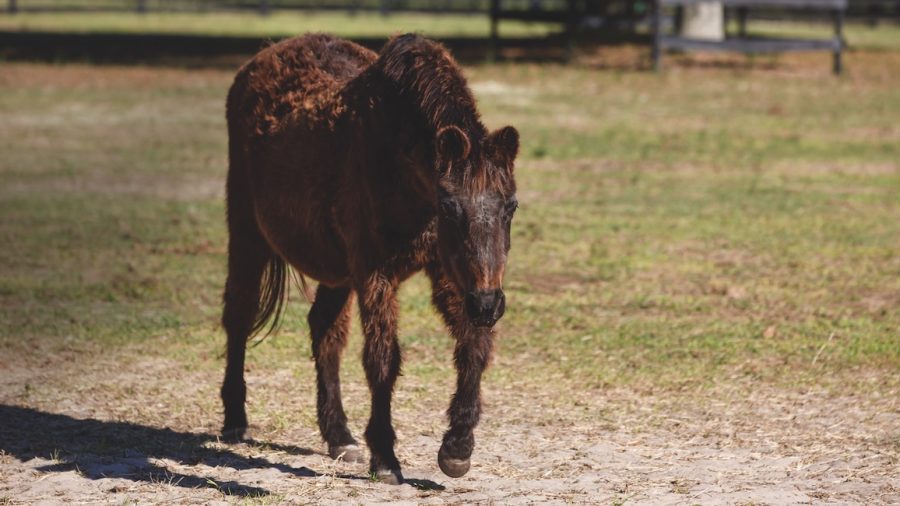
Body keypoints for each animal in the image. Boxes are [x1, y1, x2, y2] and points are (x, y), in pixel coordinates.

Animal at [220, 32, 519, 484]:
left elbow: (474, 344)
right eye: (450, 207)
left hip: (337, 270)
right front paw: (385, 457)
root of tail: (263, 56)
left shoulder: (448, 272)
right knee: (239, 318)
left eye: (511, 206)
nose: (488, 304)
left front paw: (457, 446)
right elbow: (382, 359)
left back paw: (339, 436)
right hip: (247, 237)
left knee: (324, 332)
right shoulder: (376, 273)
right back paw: (235, 420)